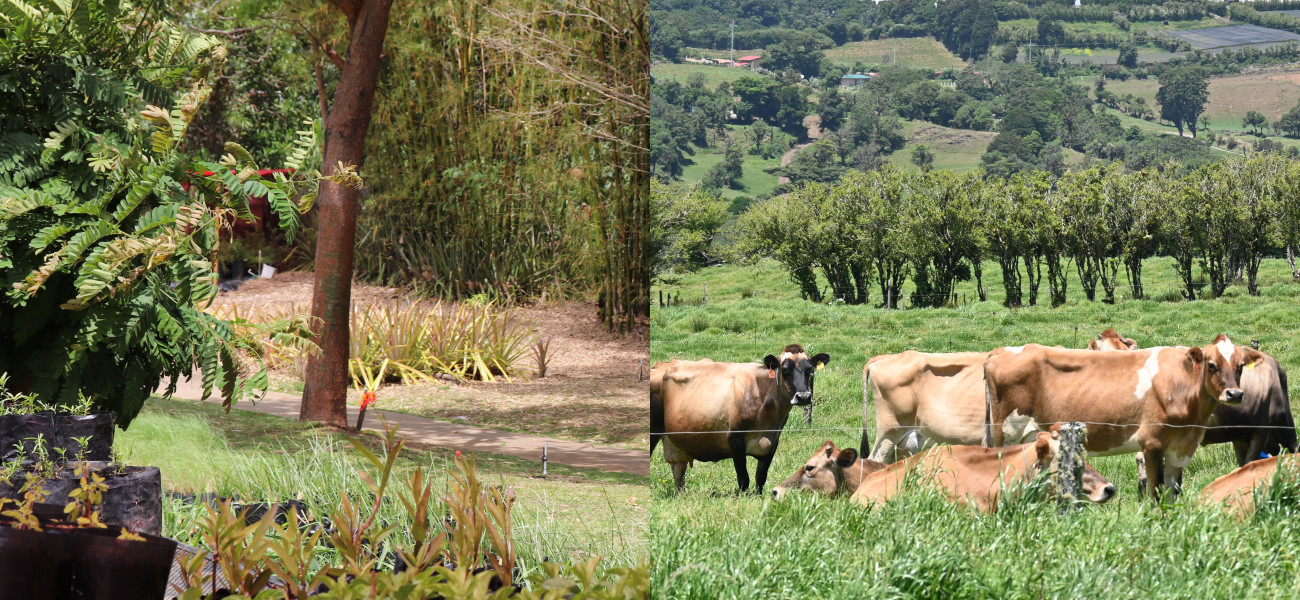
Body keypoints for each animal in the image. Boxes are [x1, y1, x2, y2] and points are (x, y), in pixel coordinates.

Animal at [650, 348, 832, 490]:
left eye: (810, 371)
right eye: (785, 371)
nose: (803, 397)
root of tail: (660, 365)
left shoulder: (773, 442)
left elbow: (760, 478)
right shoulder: (735, 439)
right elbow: (744, 479)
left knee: (679, 474)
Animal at [982, 337, 1258, 501]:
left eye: (1240, 366)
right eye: (1211, 365)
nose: (1235, 394)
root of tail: (999, 351)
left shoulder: (1179, 448)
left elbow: (1172, 493)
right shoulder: (1152, 443)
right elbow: (1155, 491)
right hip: (1006, 434)